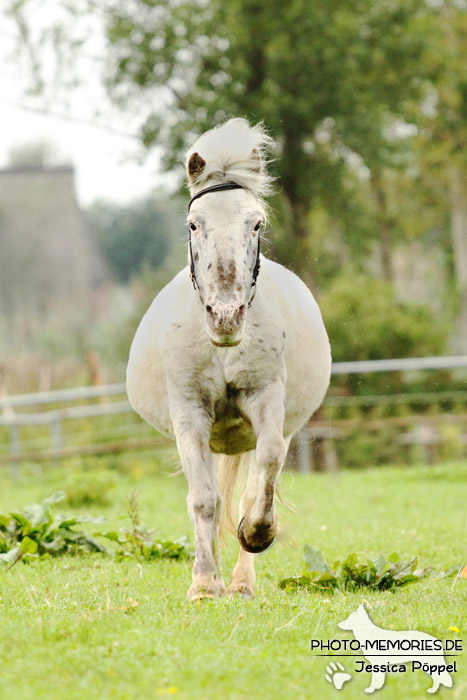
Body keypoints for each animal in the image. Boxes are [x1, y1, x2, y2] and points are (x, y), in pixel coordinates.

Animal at [128, 117, 330, 600]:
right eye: (193, 225)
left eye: (255, 224)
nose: (225, 316)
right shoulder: (189, 413)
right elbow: (203, 500)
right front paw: (203, 585)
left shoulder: (266, 402)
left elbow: (264, 475)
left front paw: (256, 535)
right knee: (216, 499)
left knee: (248, 490)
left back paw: (240, 581)